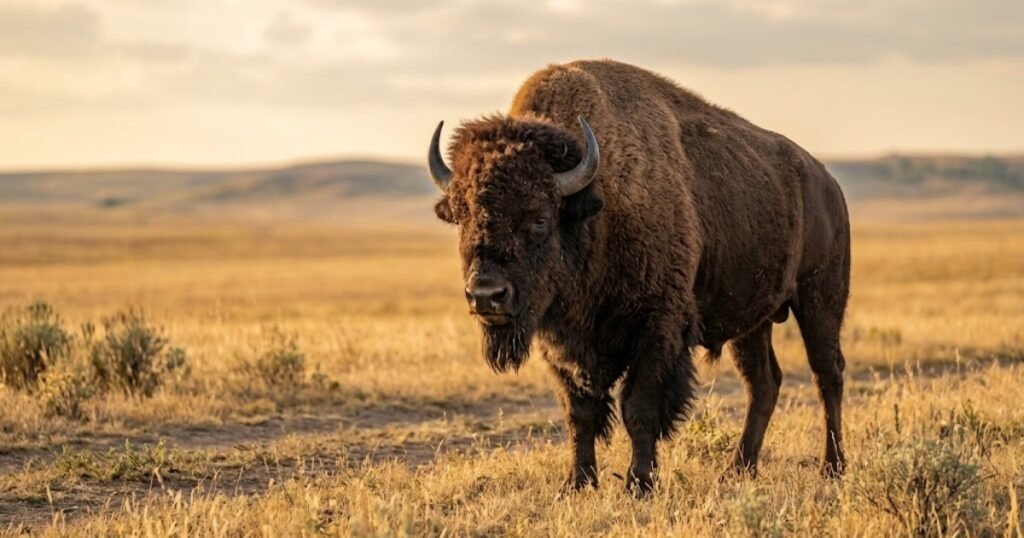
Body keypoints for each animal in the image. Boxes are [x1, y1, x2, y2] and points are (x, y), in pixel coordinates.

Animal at [427, 59, 850, 496]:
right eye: (461, 216)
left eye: (539, 218)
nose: (485, 295)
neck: (597, 208)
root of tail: (827, 183)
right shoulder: (560, 343)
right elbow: (579, 414)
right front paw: (576, 483)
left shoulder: (657, 331)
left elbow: (639, 409)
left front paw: (639, 483)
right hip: (753, 322)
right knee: (763, 383)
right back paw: (739, 469)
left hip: (819, 299)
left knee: (827, 374)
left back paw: (832, 468)